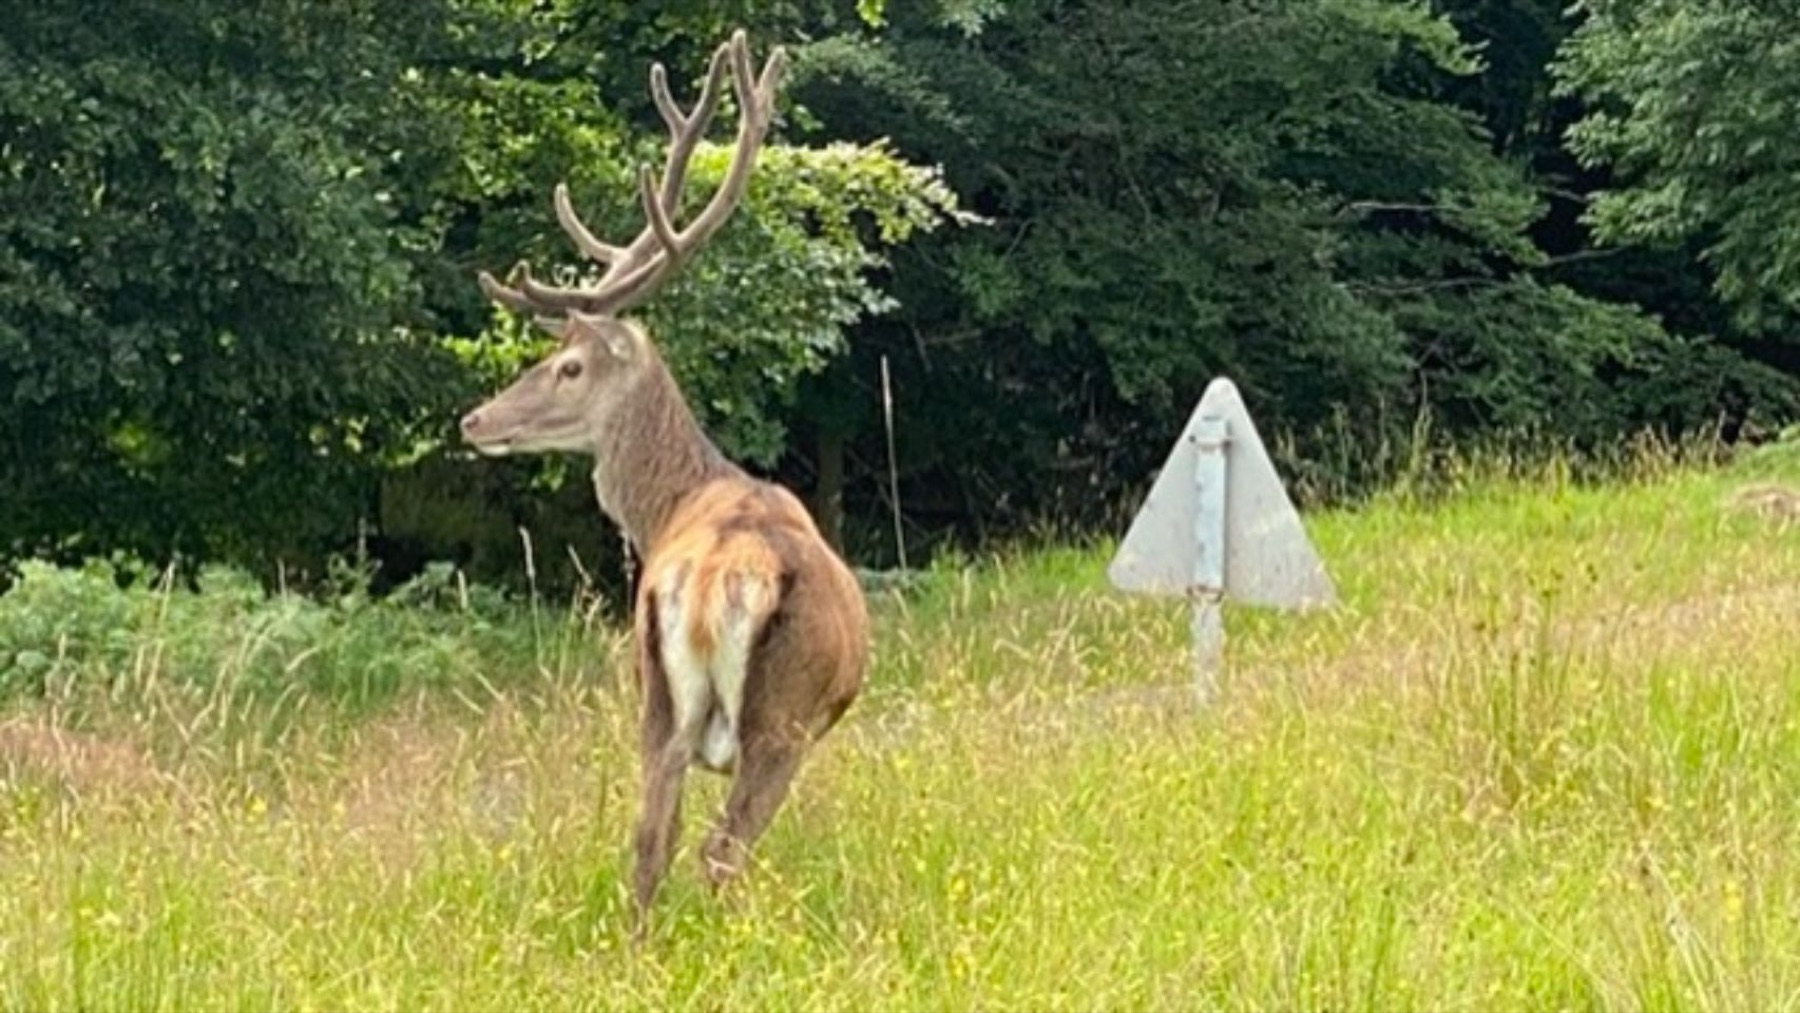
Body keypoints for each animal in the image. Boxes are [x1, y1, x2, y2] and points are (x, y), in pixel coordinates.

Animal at [456, 30, 870, 941]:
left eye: (568, 367)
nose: (474, 419)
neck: (677, 501)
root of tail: (717, 575)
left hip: (652, 692)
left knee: (650, 839)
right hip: (780, 717)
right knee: (720, 848)